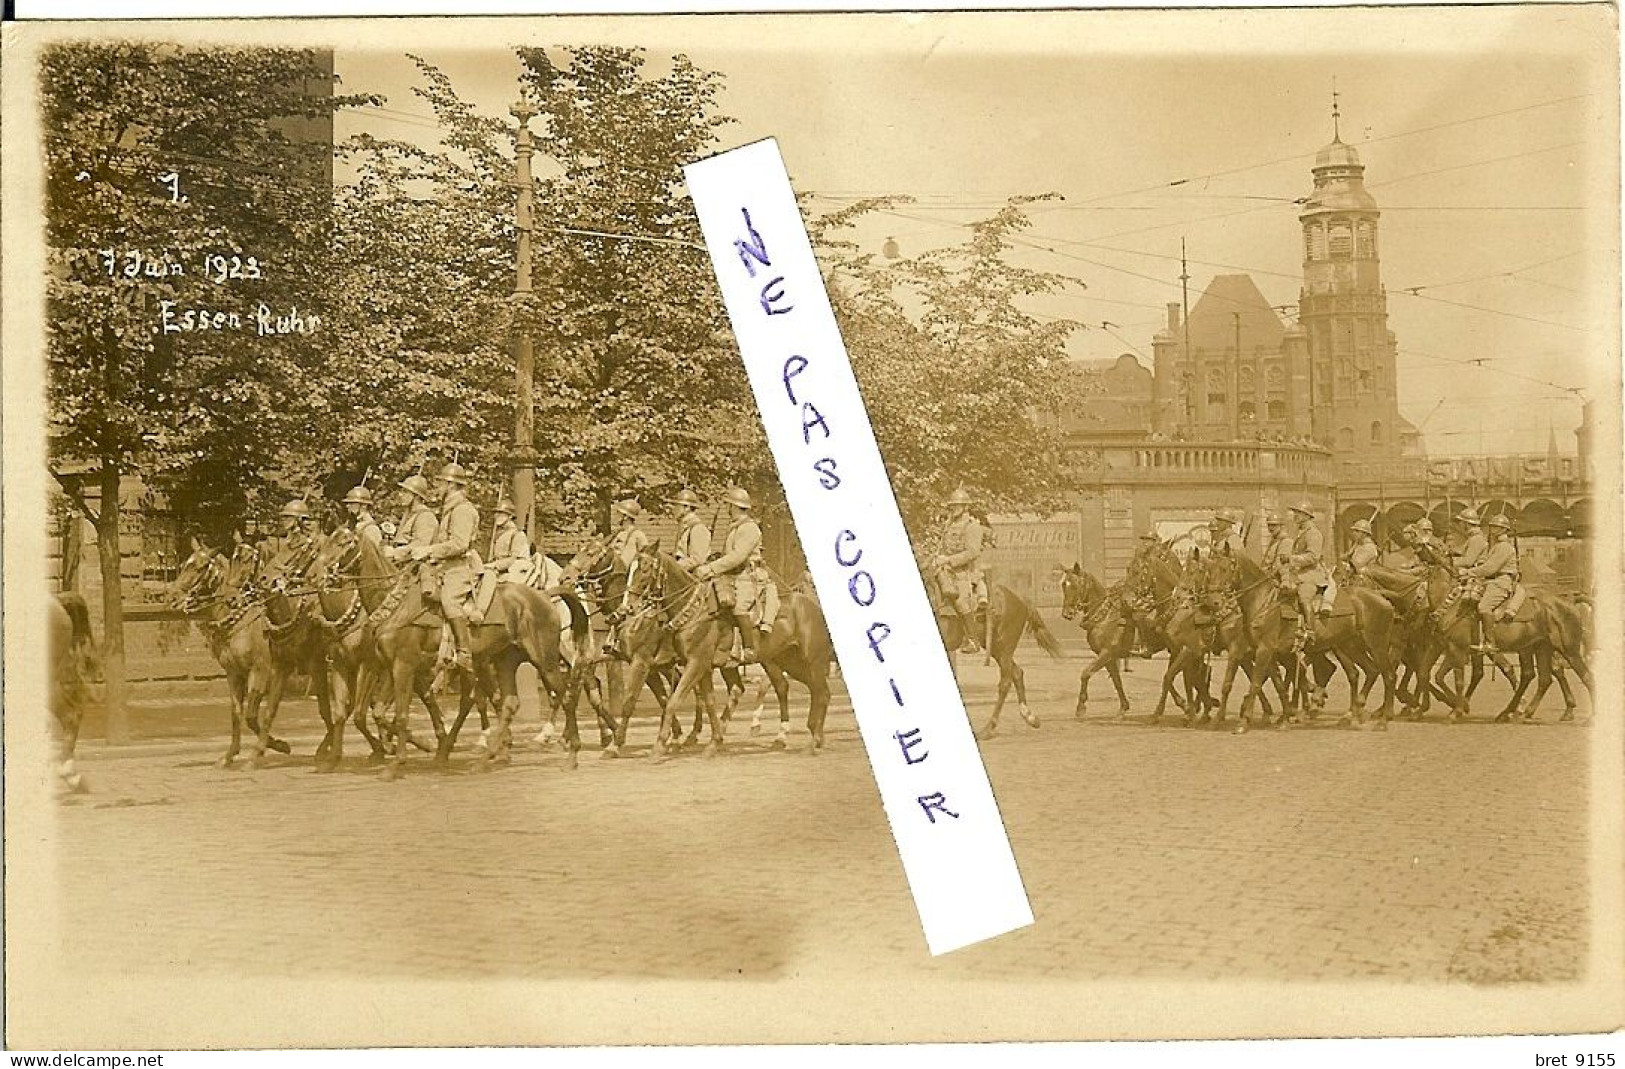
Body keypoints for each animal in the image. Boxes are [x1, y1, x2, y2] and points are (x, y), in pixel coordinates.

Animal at [166, 545, 294, 760]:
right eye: (184, 565)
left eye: (200, 568)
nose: (172, 597)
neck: (242, 623)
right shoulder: (234, 673)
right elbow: (236, 712)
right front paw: (230, 753)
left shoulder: (260, 672)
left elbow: (252, 716)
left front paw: (277, 745)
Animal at [929, 571, 1066, 737]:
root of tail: (1020, 599)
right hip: (996, 649)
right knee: (1017, 673)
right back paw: (1029, 717)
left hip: (1005, 646)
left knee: (1005, 682)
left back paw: (989, 727)